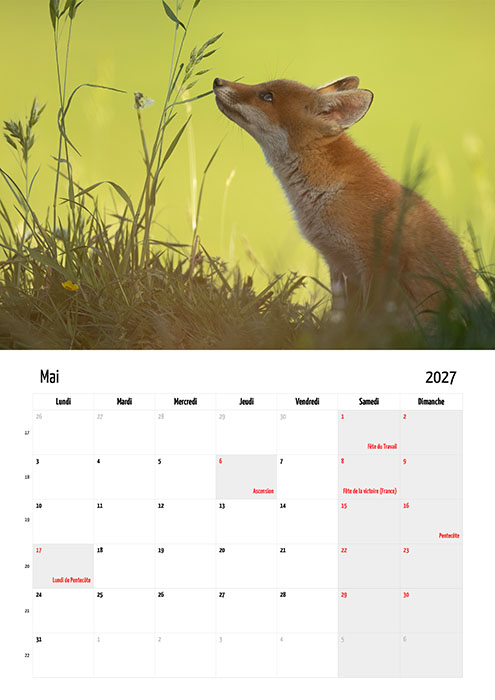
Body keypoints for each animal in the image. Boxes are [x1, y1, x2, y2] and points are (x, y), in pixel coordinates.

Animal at [213, 75, 482, 314]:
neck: (328, 194)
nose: (217, 81)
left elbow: (368, 321)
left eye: (267, 96)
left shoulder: (376, 265)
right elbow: (339, 319)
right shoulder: (338, 266)